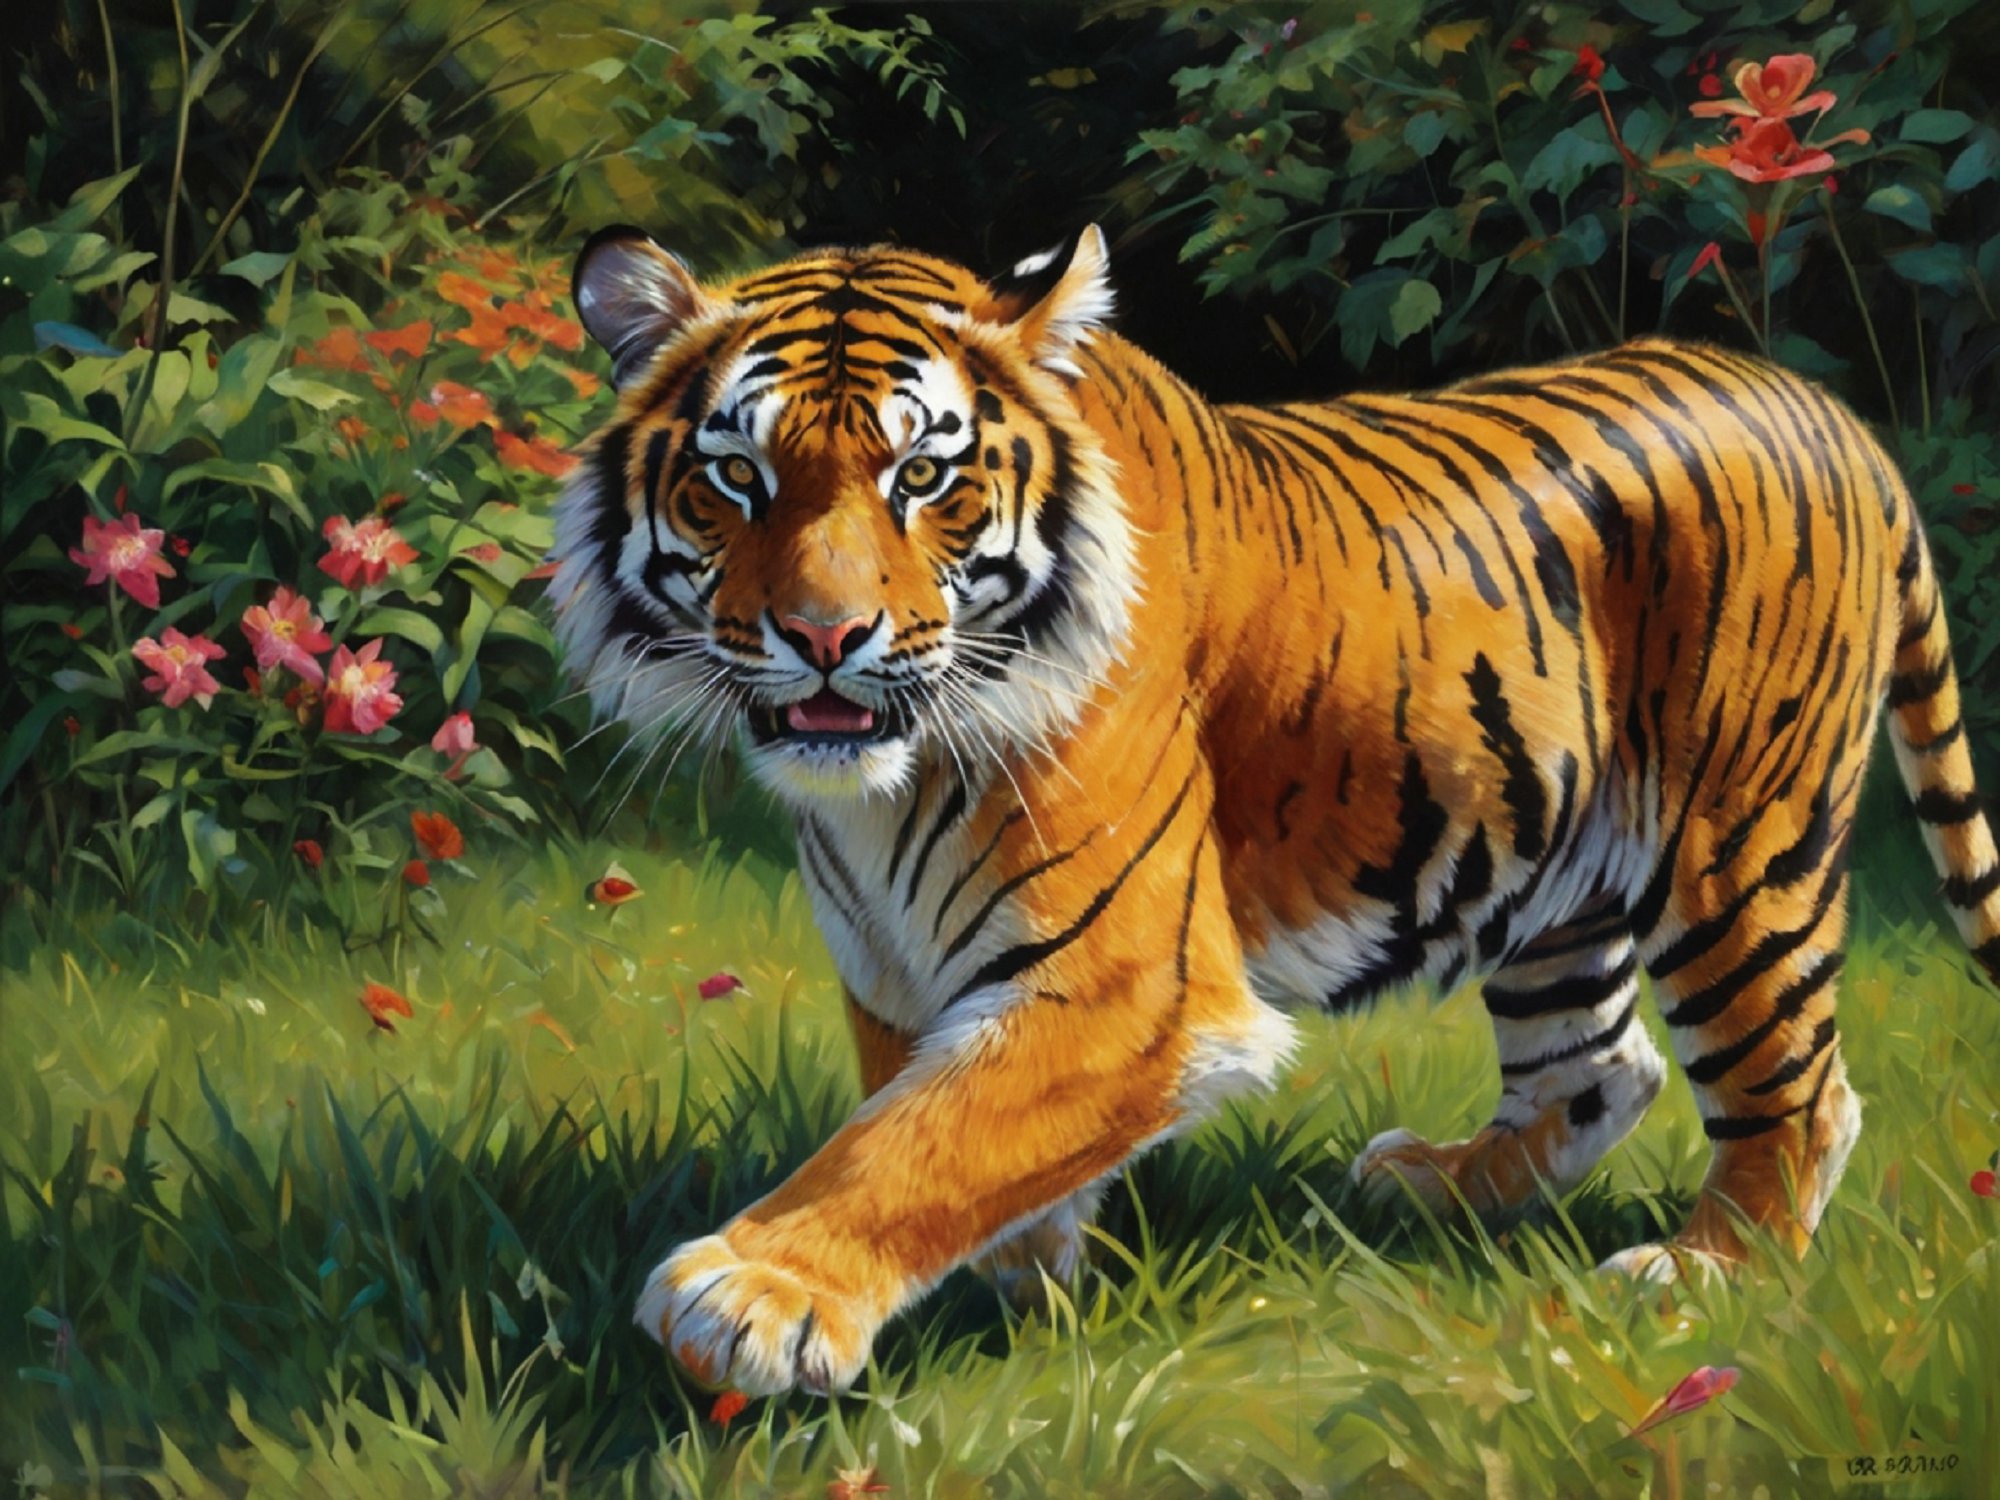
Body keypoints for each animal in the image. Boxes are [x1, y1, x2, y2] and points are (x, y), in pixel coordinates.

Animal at [552, 221, 2000, 1397]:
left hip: (1736, 855)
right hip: (1551, 874)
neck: (888, 790)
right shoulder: (894, 963)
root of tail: (1825, 407)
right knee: (1602, 1066)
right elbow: (943, 1124)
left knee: (1799, 1090)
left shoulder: (1128, 981)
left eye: (921, 479)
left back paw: (1704, 1272)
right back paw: (1441, 1190)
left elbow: (917, 1139)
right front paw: (1023, 1288)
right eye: (736, 478)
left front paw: (751, 1298)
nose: (823, 637)